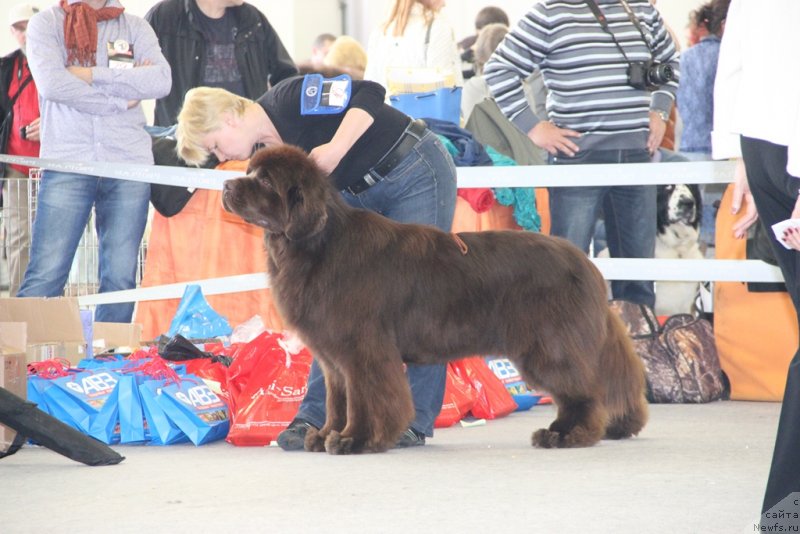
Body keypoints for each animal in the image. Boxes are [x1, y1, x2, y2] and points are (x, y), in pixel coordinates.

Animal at [222, 144, 648, 454]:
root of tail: (586, 263)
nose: (226, 186)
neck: (316, 244)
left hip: (549, 345)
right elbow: (337, 401)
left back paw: (564, 435)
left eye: (264, 181)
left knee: (583, 393)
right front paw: (326, 435)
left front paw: (355, 440)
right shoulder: (334, 359)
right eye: (250, 172)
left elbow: (366, 399)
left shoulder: (363, 351)